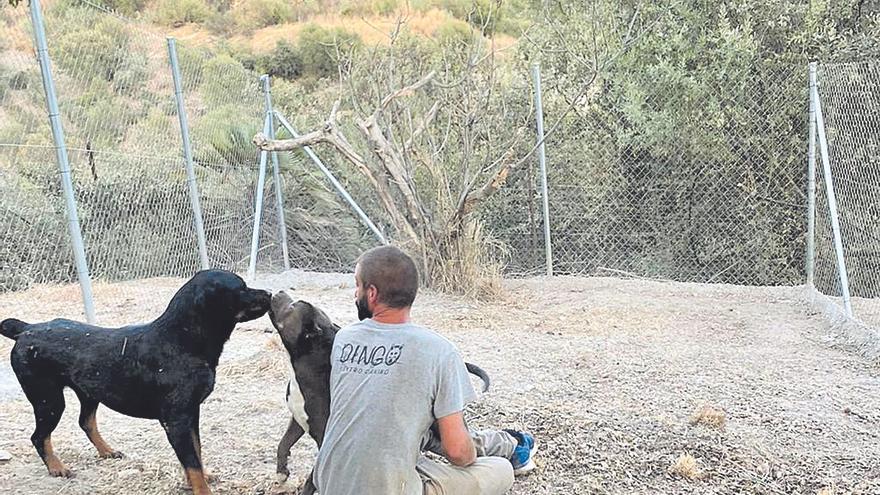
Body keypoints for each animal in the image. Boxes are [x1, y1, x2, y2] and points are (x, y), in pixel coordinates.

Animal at [0, 272, 270, 495]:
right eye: (242, 288)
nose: (268, 293)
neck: (181, 339)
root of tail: (26, 329)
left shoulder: (191, 414)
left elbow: (197, 452)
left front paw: (199, 478)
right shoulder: (177, 420)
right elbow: (192, 461)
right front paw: (201, 487)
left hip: (89, 392)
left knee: (85, 421)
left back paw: (106, 451)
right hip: (48, 399)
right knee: (39, 436)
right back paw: (57, 467)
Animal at [268, 290, 488, 495]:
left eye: (293, 306)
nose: (278, 292)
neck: (304, 362)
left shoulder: (324, 438)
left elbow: (312, 477)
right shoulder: (298, 418)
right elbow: (283, 443)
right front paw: (281, 472)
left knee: (472, 445)